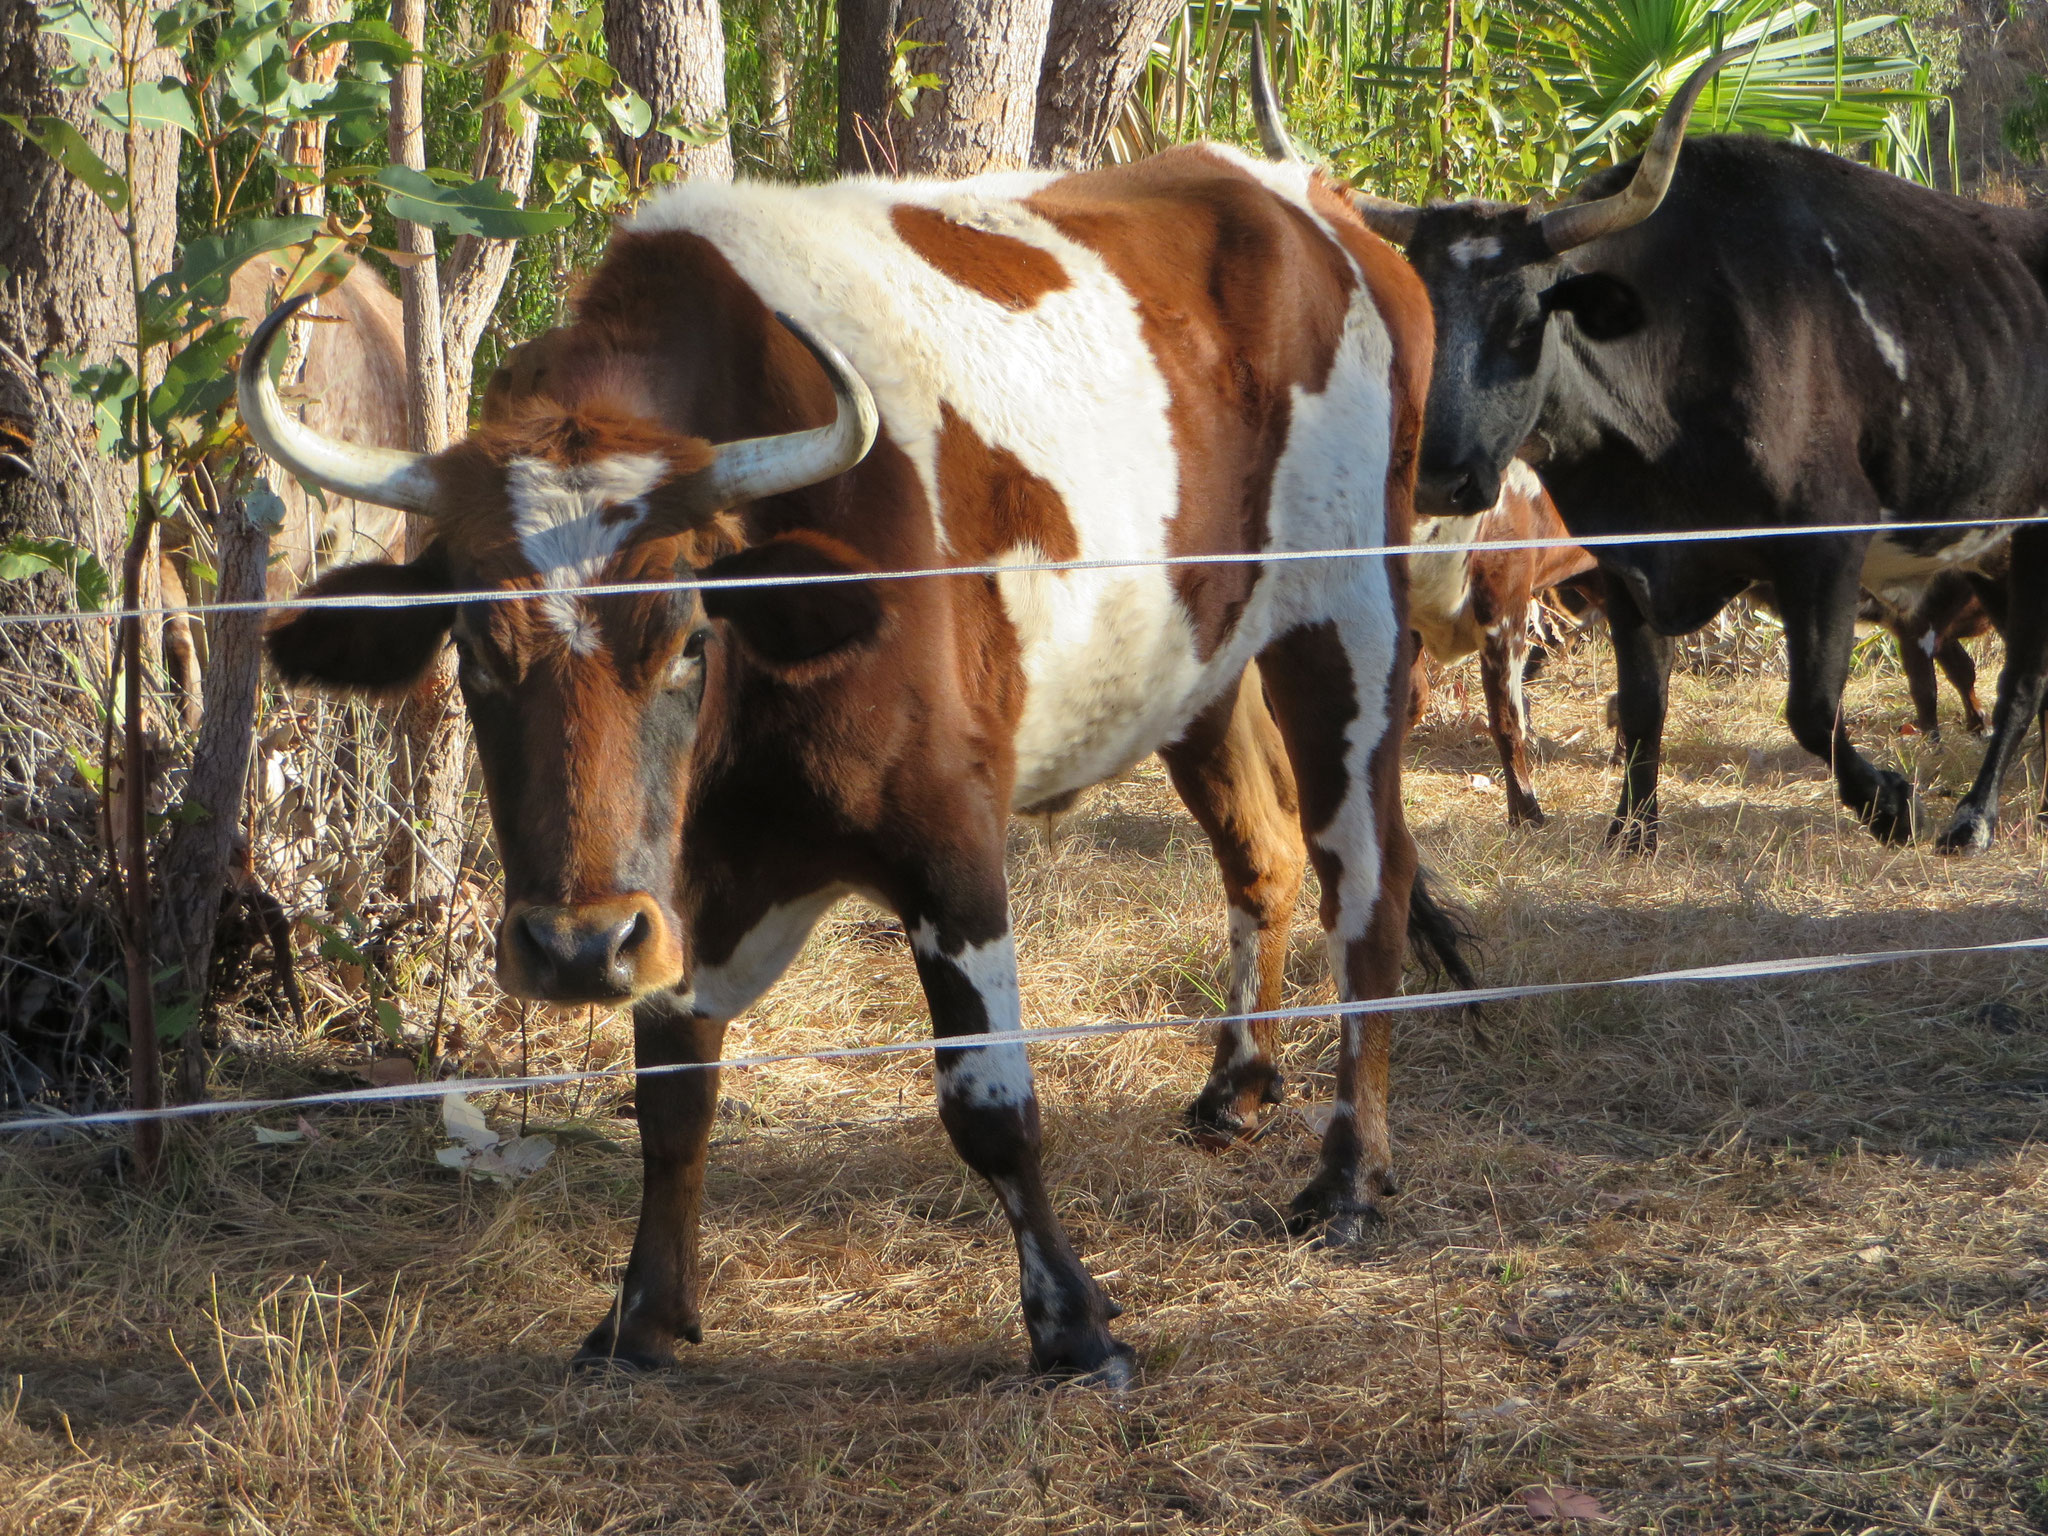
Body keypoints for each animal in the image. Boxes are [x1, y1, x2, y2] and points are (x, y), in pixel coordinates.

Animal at [243, 150, 1458, 1384]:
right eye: (478, 652)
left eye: (688, 637)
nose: (575, 947)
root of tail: (1298, 193)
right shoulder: (671, 894)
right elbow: (671, 1098)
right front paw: (643, 1314)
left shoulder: (946, 839)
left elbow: (989, 1101)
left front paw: (1072, 1322)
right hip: (1198, 664)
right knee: (1263, 851)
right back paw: (1237, 1086)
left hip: (1351, 615)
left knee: (1369, 885)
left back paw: (1349, 1177)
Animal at [1253, 51, 2048, 856]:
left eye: (1525, 321)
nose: (1442, 481)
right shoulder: (1626, 561)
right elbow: (1641, 704)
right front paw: (1631, 830)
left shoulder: (1826, 540)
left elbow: (1812, 705)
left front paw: (1890, 803)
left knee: (2019, 685)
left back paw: (1973, 818)